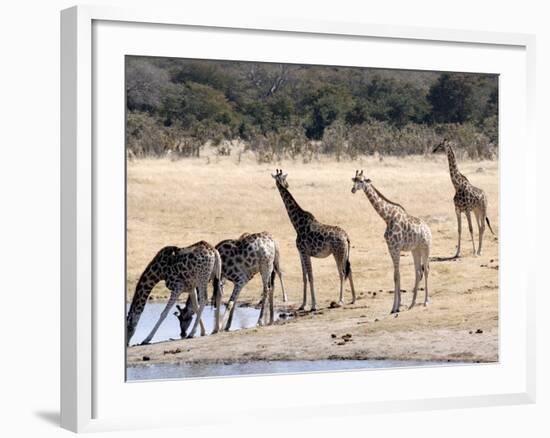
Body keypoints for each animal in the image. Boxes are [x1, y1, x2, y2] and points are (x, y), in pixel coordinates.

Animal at [272, 169, 358, 312]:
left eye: (283, 178)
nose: (286, 184)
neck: (296, 223)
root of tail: (347, 237)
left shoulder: (304, 252)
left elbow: (311, 276)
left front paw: (313, 305)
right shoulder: (301, 253)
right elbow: (304, 277)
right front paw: (302, 305)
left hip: (338, 253)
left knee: (342, 273)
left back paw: (340, 300)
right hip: (345, 253)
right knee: (349, 270)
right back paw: (353, 299)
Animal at [352, 169, 434, 314]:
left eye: (361, 181)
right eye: (354, 179)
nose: (353, 189)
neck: (387, 217)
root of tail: (428, 229)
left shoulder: (395, 248)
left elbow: (396, 275)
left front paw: (395, 307)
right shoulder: (391, 248)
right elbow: (396, 275)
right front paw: (396, 306)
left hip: (426, 248)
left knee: (427, 270)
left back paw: (426, 301)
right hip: (415, 250)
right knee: (418, 271)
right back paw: (412, 303)